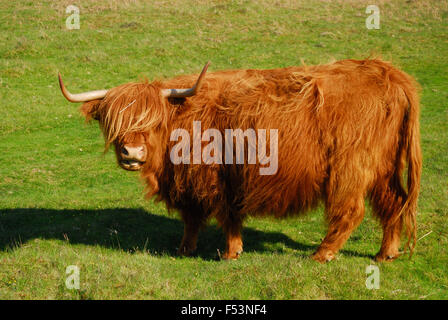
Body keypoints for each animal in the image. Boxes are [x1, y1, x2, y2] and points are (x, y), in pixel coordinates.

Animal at [58, 58, 420, 262]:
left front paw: (230, 253)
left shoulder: (212, 178)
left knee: (351, 211)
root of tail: (388, 73)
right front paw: (186, 249)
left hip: (351, 166)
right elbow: (197, 218)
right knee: (394, 202)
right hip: (384, 167)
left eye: (153, 121)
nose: (132, 154)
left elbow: (218, 215)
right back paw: (386, 253)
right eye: (113, 121)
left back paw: (323, 254)